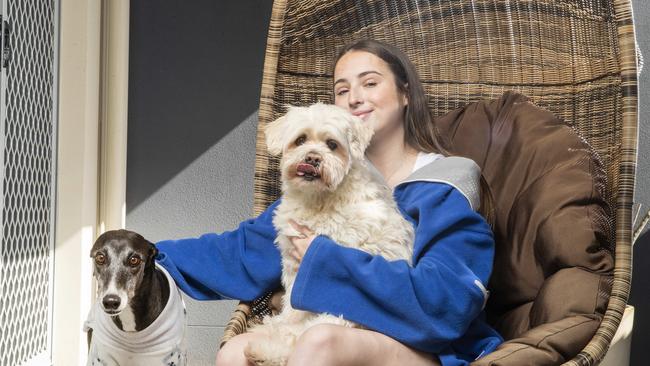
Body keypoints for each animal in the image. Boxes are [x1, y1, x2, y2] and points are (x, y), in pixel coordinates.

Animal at [240, 103, 412, 366]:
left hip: (341, 315)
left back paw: (265, 350)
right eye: (300, 140)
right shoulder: (292, 264)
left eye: (332, 144)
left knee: (303, 335)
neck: (318, 199)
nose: (312, 158)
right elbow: (291, 306)